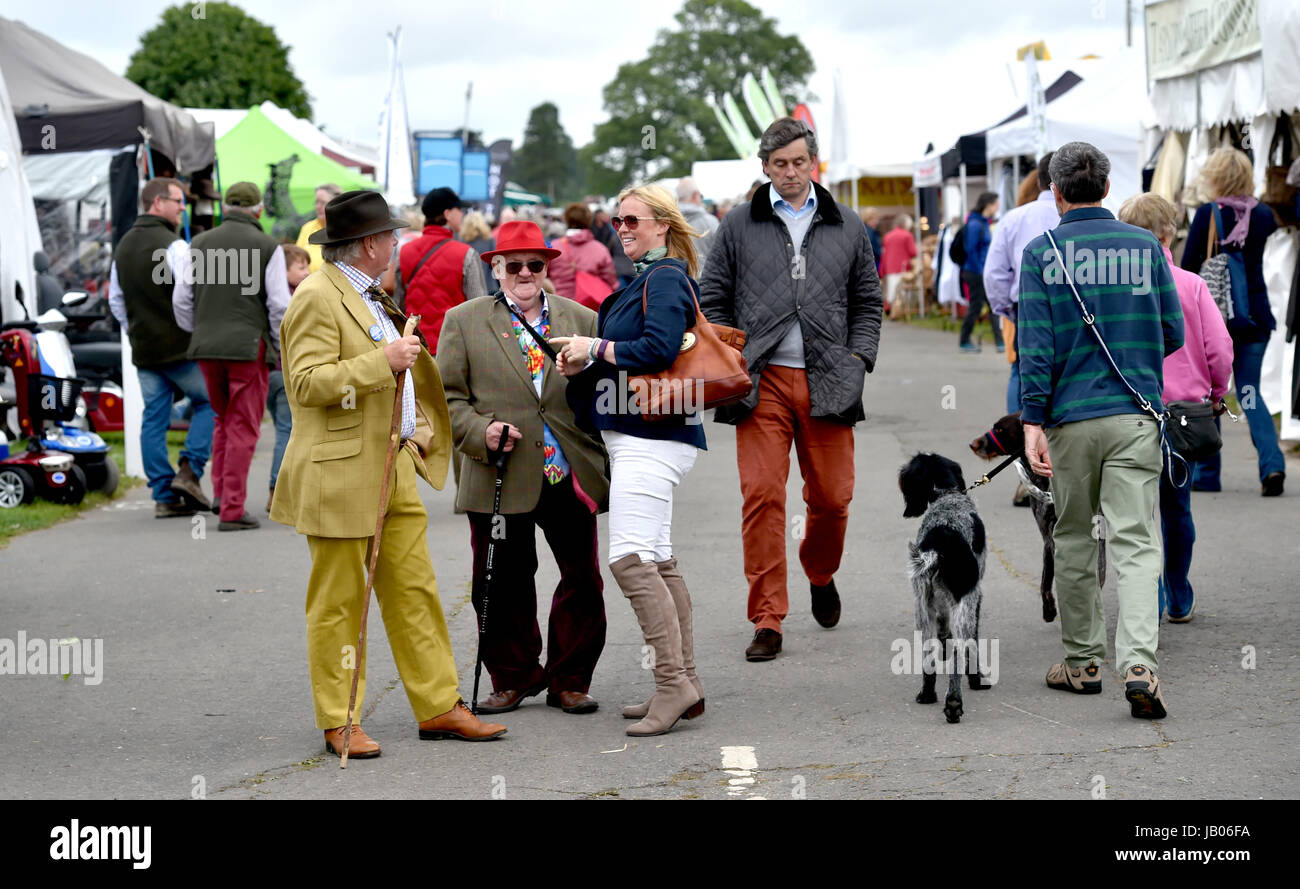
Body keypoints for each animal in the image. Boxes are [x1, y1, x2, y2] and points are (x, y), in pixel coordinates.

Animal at [899, 452, 987, 722]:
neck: (947, 496)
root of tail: (940, 546)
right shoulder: (975, 597)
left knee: (929, 658)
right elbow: (971, 648)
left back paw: (928, 694)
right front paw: (976, 679)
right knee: (960, 653)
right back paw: (954, 702)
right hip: (964, 607)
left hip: (922, 610)